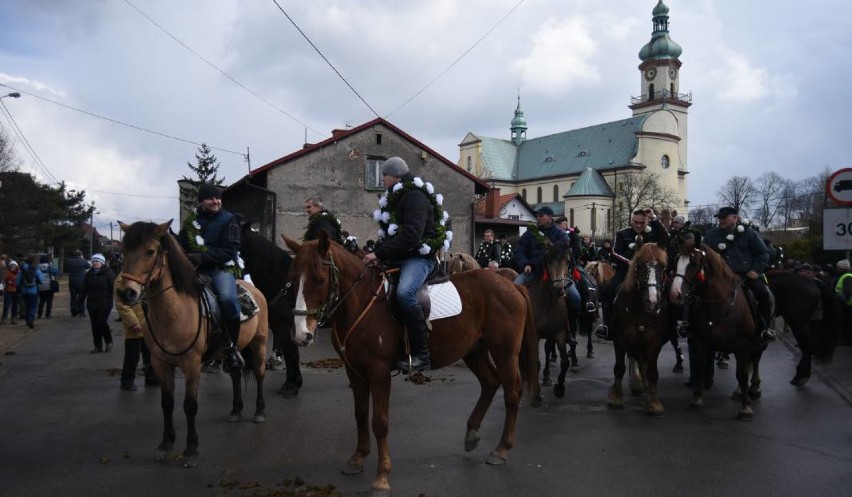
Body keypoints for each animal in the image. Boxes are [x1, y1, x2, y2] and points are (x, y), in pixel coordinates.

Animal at [116, 221, 268, 464]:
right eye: (124, 251)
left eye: (150, 251)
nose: (126, 293)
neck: (175, 312)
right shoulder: (161, 363)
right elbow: (167, 403)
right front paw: (166, 444)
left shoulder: (191, 364)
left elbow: (190, 405)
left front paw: (191, 449)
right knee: (235, 375)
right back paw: (235, 411)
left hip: (259, 344)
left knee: (260, 374)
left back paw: (259, 412)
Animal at [284, 232, 540, 496]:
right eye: (291, 279)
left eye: (319, 279)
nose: (302, 335)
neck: (362, 302)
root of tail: (511, 284)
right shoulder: (354, 370)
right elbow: (360, 413)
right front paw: (358, 458)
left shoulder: (378, 371)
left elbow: (380, 422)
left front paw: (382, 476)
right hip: (474, 351)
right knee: (490, 384)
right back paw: (471, 433)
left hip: (505, 352)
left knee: (512, 393)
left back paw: (502, 448)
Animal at [604, 240, 672, 414]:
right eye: (639, 266)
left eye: (663, 267)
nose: (652, 302)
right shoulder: (620, 339)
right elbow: (619, 367)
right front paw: (615, 398)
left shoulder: (654, 342)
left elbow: (652, 372)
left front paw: (654, 403)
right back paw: (636, 384)